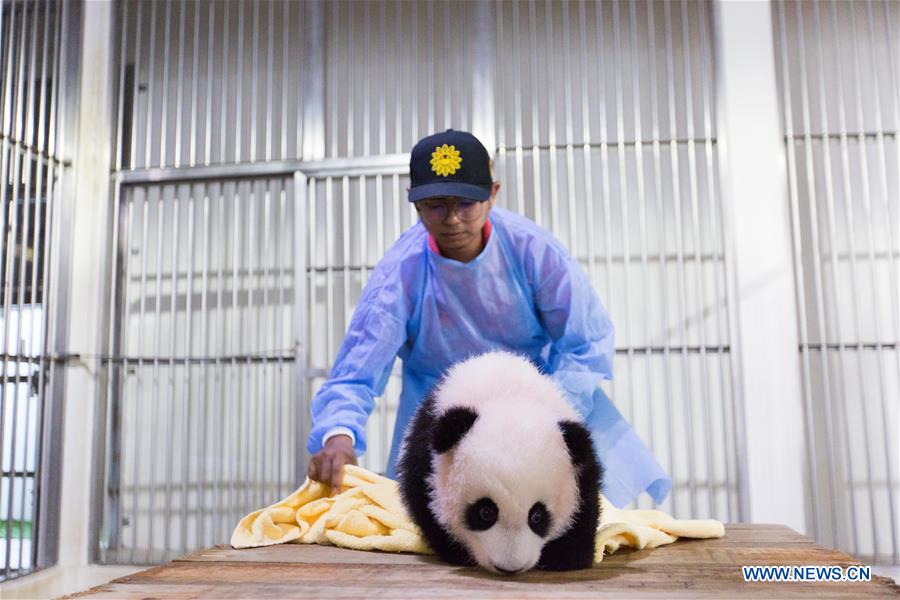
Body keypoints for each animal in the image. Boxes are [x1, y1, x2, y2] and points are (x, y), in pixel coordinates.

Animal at [397, 351, 603, 574]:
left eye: (537, 516)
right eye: (485, 512)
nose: (509, 568)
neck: (508, 398)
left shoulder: (579, 462)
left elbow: (584, 506)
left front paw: (564, 557)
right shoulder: (425, 456)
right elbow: (425, 504)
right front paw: (458, 552)